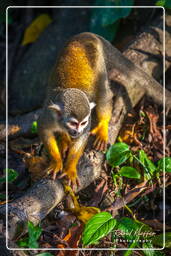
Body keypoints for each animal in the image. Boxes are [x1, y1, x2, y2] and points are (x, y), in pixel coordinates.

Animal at [38, 33, 114, 187]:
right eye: (73, 123)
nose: (77, 131)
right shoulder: (48, 115)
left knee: (103, 93)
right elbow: (44, 130)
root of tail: (86, 36)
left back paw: (103, 125)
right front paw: (56, 162)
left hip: (100, 65)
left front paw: (70, 169)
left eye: (83, 123)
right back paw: (65, 139)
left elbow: (82, 139)